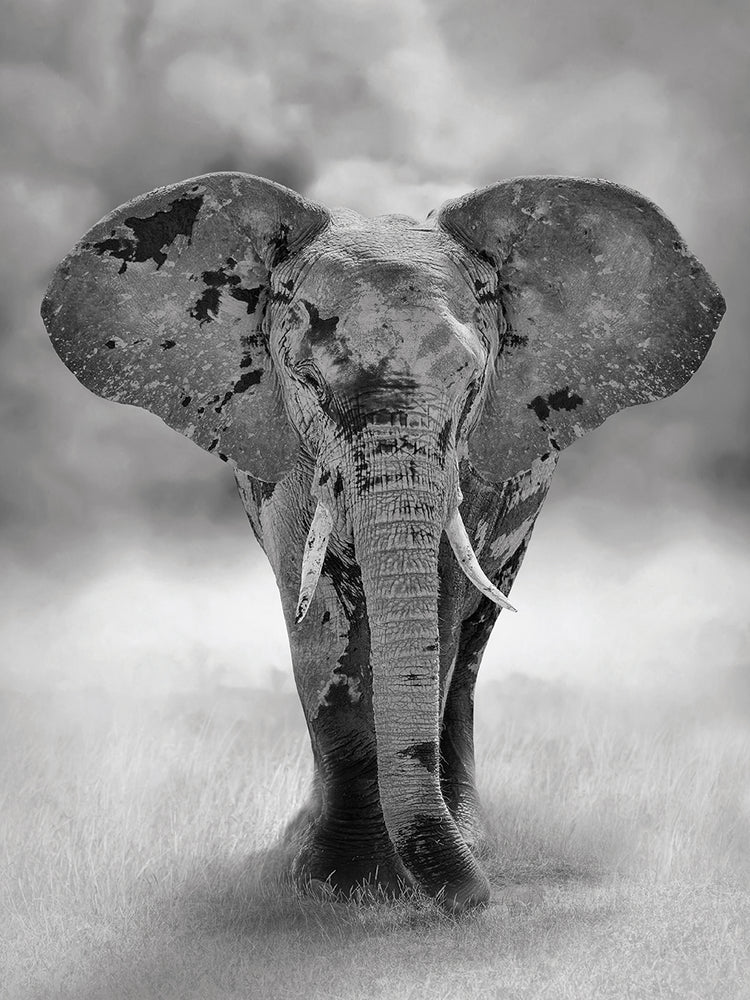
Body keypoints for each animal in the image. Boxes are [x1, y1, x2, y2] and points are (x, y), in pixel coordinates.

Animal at [42, 171, 724, 911]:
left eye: (472, 382)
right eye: (308, 381)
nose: (478, 901)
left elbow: (444, 608)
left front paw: (394, 879)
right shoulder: (288, 457)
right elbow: (314, 618)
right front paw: (338, 883)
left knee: (473, 642)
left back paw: (472, 837)